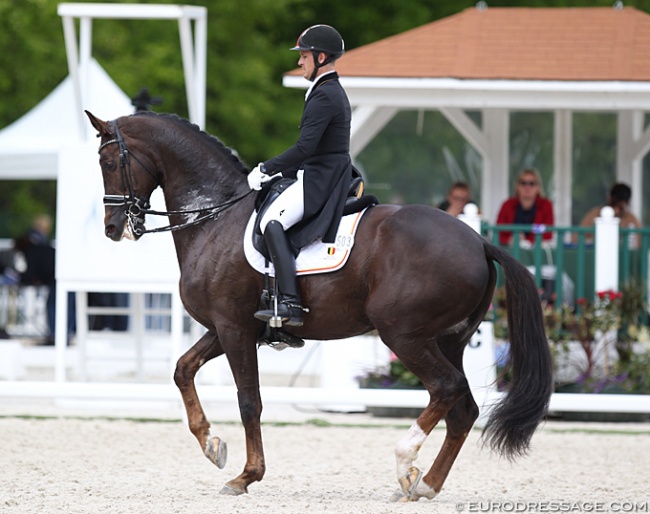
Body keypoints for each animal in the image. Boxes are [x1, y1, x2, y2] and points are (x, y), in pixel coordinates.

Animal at [83, 109, 548, 500]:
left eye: (108, 163)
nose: (111, 228)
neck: (214, 218)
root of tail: (478, 241)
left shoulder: (233, 328)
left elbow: (249, 401)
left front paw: (246, 476)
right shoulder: (227, 327)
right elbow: (183, 370)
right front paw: (212, 444)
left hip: (404, 335)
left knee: (445, 388)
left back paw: (405, 464)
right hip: (450, 339)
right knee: (463, 409)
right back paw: (425, 485)